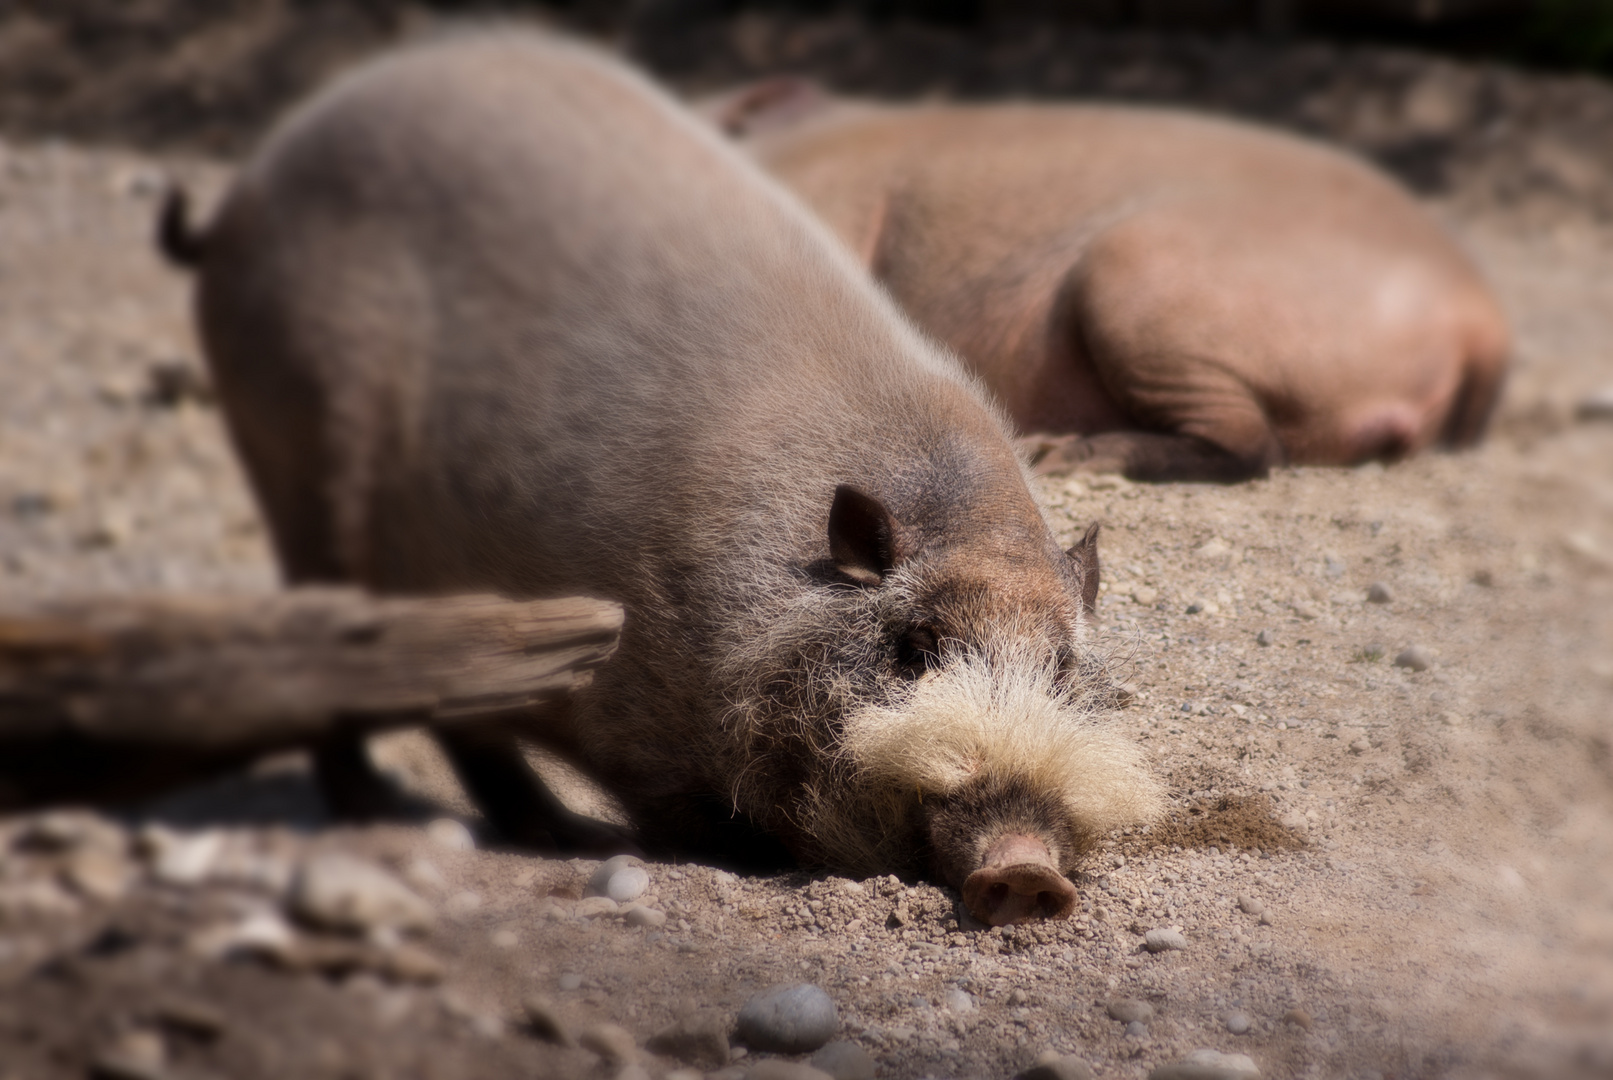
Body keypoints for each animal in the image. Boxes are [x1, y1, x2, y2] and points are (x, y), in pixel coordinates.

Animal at [160, 35, 1161, 928]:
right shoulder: (637, 720)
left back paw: (551, 833)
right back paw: (411, 821)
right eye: (915, 650)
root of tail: (248, 189)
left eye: (1062, 666)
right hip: (298, 463)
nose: (1025, 874)